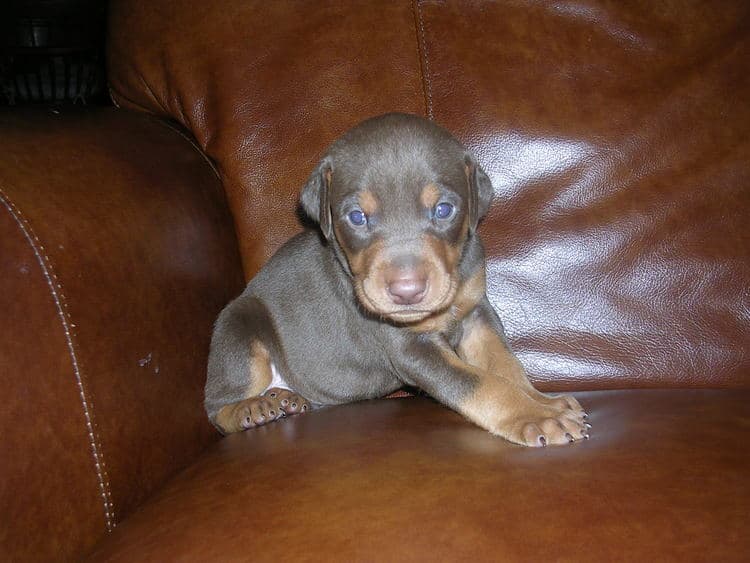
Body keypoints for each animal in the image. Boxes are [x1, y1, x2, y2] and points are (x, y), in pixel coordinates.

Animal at [207, 113, 592, 450]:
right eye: (357, 217)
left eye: (444, 209)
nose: (407, 292)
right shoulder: (410, 347)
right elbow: (480, 383)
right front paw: (537, 416)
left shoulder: (477, 315)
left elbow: (506, 365)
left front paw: (544, 401)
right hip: (239, 327)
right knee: (217, 407)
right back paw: (253, 407)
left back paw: (283, 399)